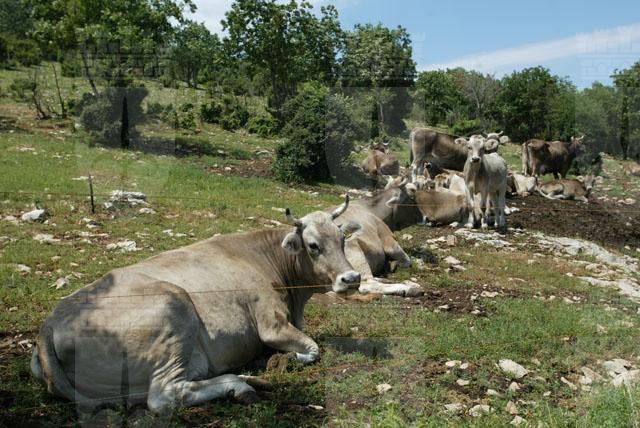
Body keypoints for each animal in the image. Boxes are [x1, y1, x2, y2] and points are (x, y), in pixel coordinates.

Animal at [31, 199, 362, 415]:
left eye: (343, 239)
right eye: (313, 245)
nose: (352, 278)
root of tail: (50, 323)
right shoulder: (272, 324)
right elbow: (312, 349)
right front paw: (285, 358)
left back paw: (249, 378)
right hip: (174, 310)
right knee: (164, 396)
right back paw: (239, 386)